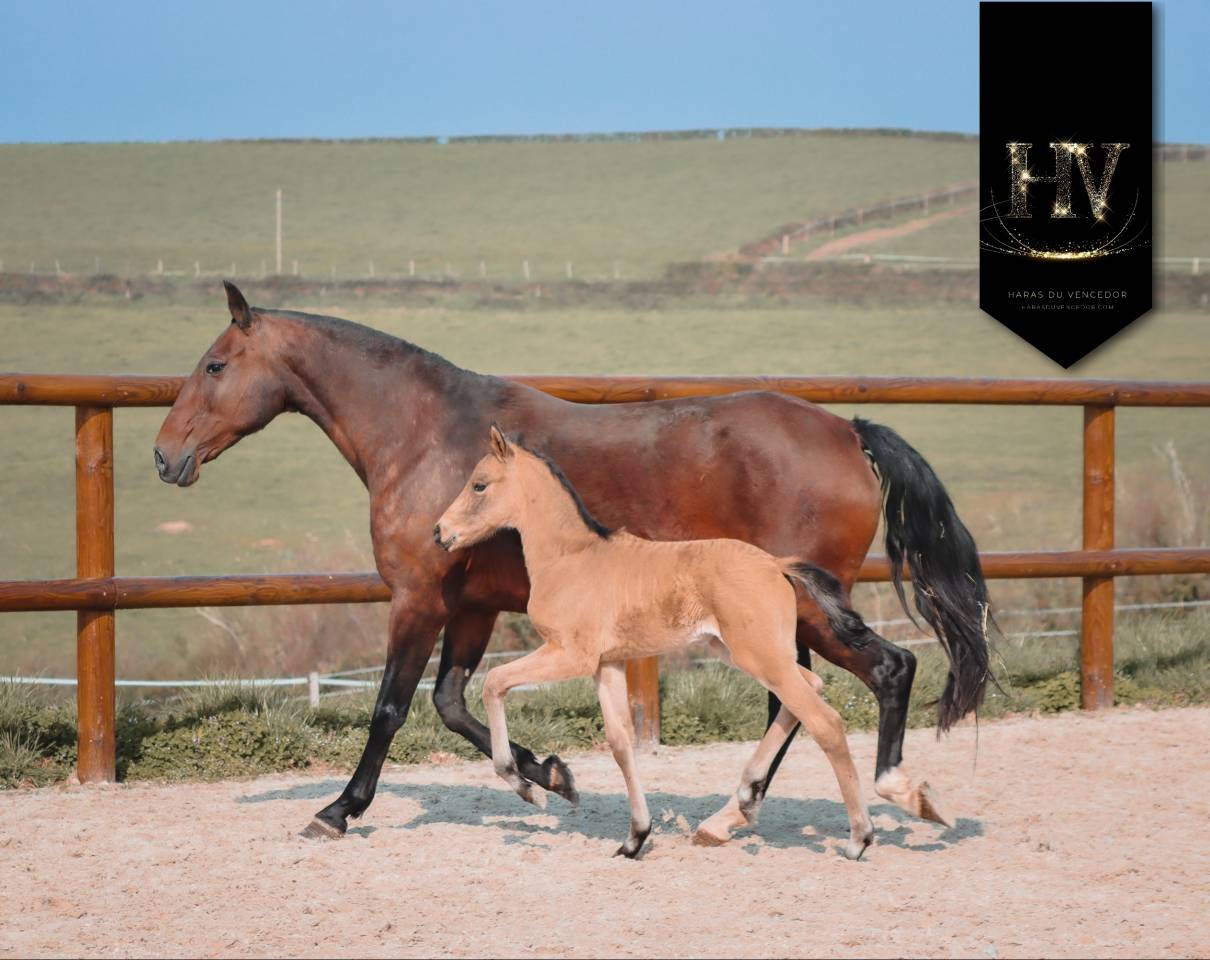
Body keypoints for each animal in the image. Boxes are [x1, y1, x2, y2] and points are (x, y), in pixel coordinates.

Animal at [435, 425, 877, 860]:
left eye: (479, 485)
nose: (440, 533)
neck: (571, 559)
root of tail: (775, 564)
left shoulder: (571, 656)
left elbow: (494, 682)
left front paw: (530, 788)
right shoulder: (607, 664)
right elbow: (620, 743)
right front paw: (634, 838)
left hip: (760, 657)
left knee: (825, 721)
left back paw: (858, 837)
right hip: (743, 653)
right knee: (809, 689)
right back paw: (744, 799)